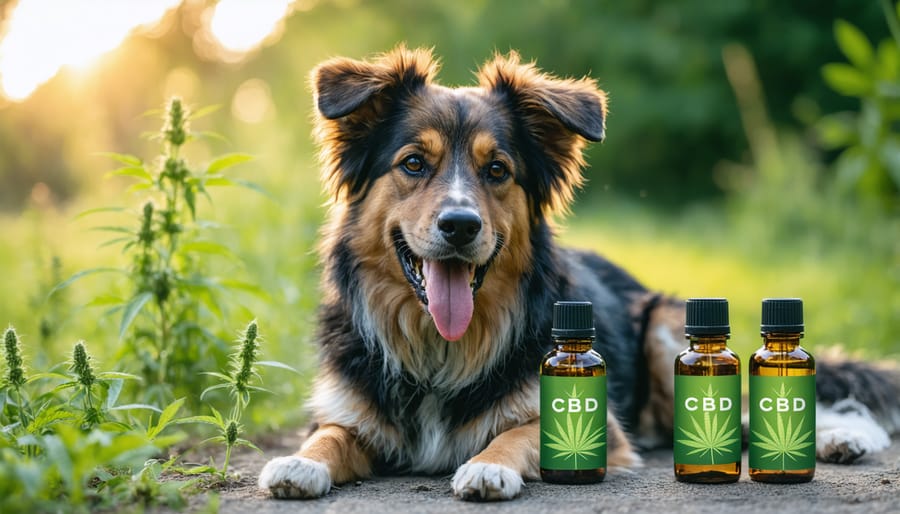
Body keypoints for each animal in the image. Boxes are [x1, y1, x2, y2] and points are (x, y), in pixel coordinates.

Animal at [256, 46, 896, 498]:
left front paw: (486, 468)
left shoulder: (599, 421)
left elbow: (517, 432)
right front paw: (300, 462)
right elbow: (331, 433)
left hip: (664, 330)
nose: (460, 226)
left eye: (497, 169)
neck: (440, 349)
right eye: (413, 163)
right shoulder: (351, 409)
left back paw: (843, 437)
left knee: (740, 411)